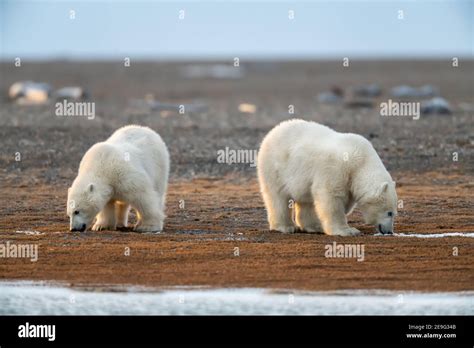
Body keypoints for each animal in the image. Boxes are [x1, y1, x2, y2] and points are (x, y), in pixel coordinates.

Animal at [258, 119, 398, 237]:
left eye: (394, 213)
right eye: (389, 212)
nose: (389, 231)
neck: (361, 162)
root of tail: (272, 132)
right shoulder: (336, 168)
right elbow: (331, 197)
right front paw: (347, 230)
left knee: (306, 200)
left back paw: (314, 227)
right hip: (275, 167)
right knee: (278, 197)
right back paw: (286, 227)